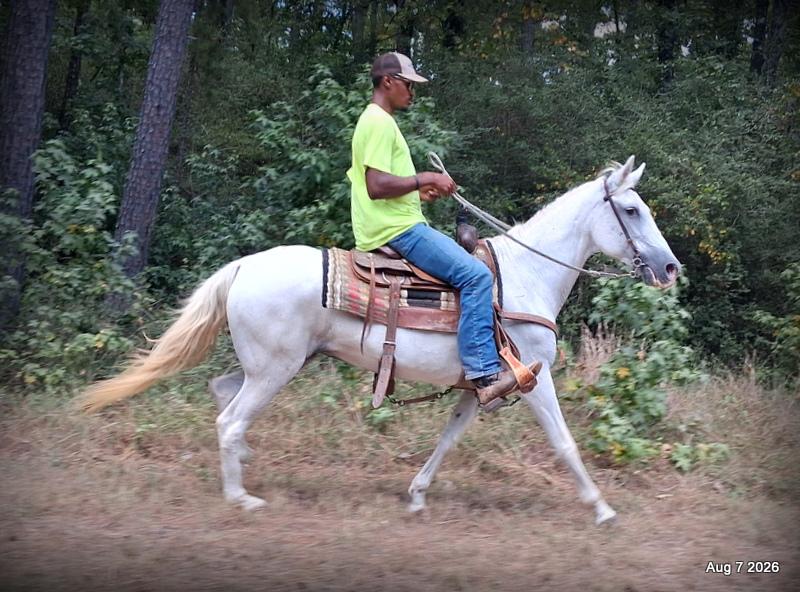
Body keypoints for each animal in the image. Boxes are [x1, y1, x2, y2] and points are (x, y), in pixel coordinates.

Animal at [81, 156, 680, 525]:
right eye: (631, 211)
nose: (670, 268)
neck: (526, 275)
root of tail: (242, 266)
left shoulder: (479, 386)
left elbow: (448, 439)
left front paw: (416, 496)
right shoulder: (535, 378)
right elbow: (564, 442)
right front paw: (602, 509)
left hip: (271, 365)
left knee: (221, 392)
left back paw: (244, 463)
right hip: (275, 370)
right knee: (229, 418)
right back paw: (240, 497)